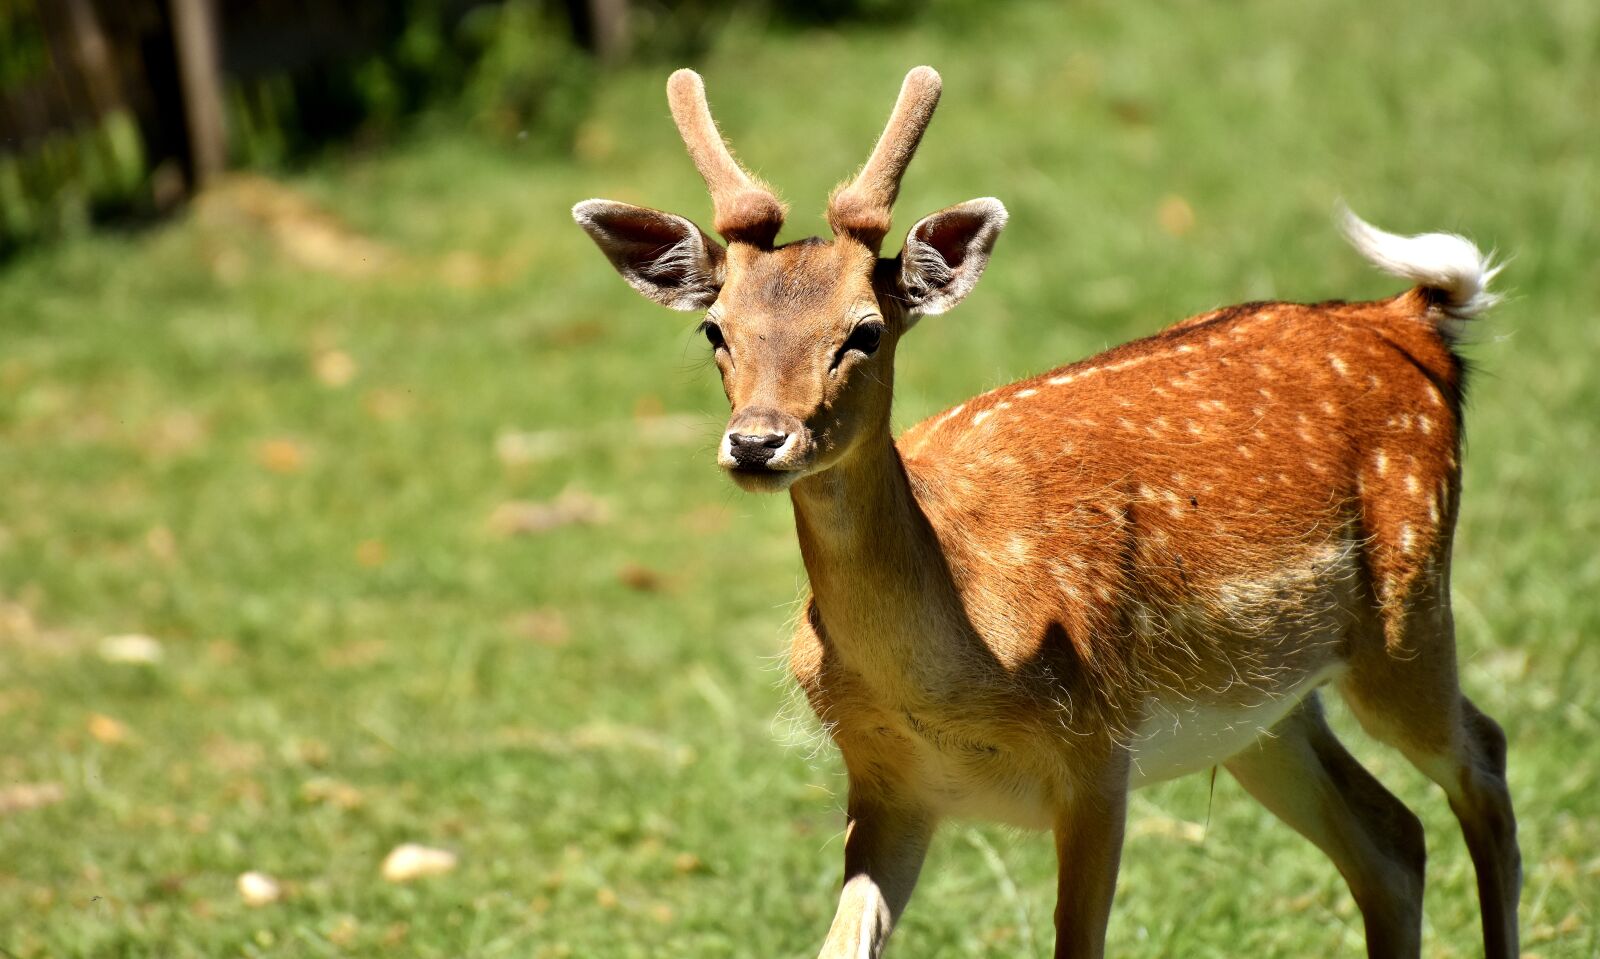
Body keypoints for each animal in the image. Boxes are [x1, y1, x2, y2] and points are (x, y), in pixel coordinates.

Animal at [572, 66, 1519, 959]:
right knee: (1392, 839)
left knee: (1485, 759)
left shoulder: (1098, 749)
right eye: (716, 329)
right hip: (1263, 712)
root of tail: (1413, 318)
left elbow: (1078, 940)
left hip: (1407, 607)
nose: (759, 441)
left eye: (866, 330)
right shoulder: (885, 782)